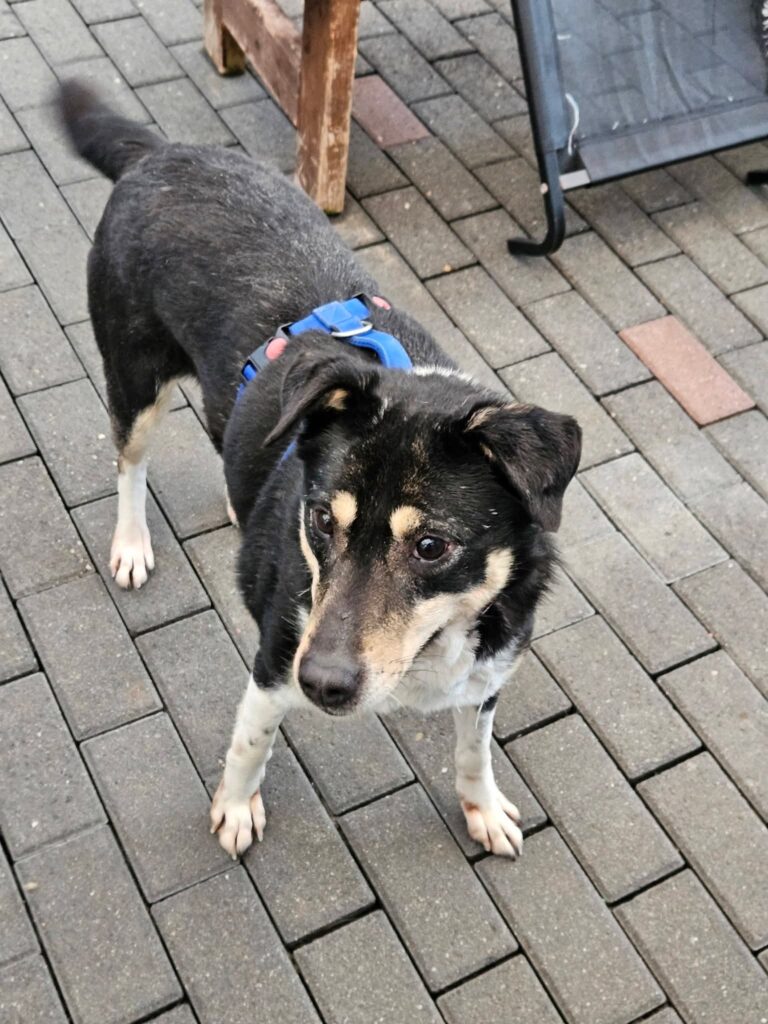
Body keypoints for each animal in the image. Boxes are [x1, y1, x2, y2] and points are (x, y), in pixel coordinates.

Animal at [59, 81, 581, 861]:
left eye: (432, 546)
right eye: (317, 521)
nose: (324, 683)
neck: (433, 646)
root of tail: (161, 151)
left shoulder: (489, 671)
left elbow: (474, 751)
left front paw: (483, 808)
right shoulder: (278, 656)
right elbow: (250, 741)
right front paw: (235, 807)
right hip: (135, 378)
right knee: (130, 460)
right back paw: (130, 545)